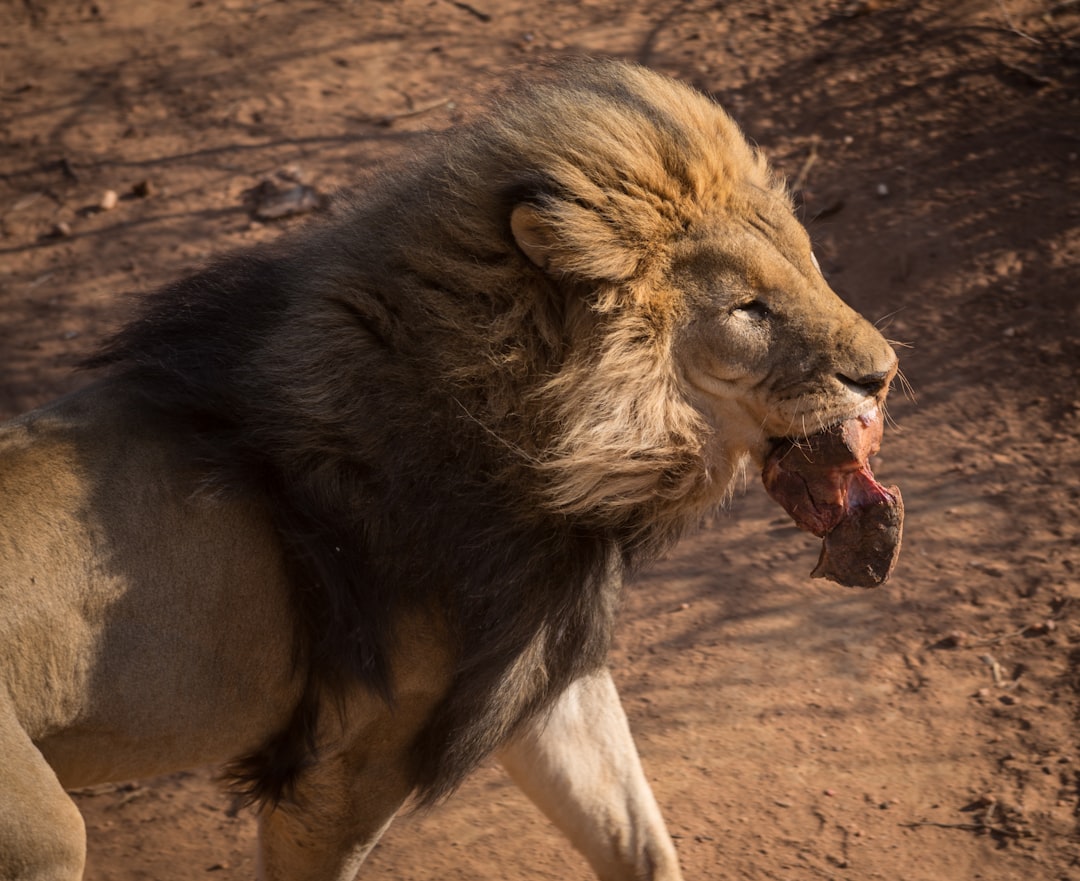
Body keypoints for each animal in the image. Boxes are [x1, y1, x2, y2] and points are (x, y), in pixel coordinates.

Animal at [0, 60, 894, 881]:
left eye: (811, 263)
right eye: (749, 308)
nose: (883, 374)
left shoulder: (536, 669)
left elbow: (635, 835)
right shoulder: (346, 766)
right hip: (48, 834)